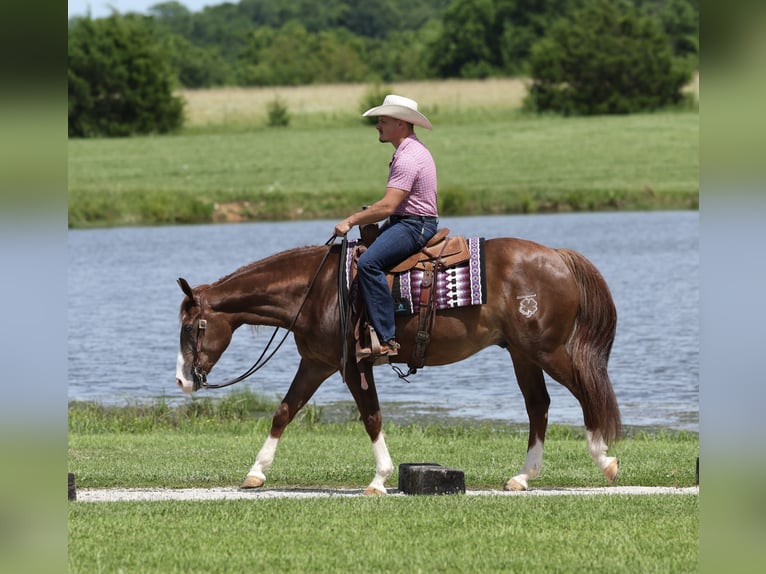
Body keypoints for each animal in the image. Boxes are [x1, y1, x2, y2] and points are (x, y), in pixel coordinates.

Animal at [176, 236, 621, 495]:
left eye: (192, 328)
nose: (182, 380)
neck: (317, 290)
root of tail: (559, 257)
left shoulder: (353, 367)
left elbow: (371, 417)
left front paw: (379, 479)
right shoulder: (316, 363)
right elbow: (284, 411)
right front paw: (256, 472)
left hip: (545, 351)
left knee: (586, 393)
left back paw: (605, 460)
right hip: (522, 354)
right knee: (538, 406)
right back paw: (523, 476)